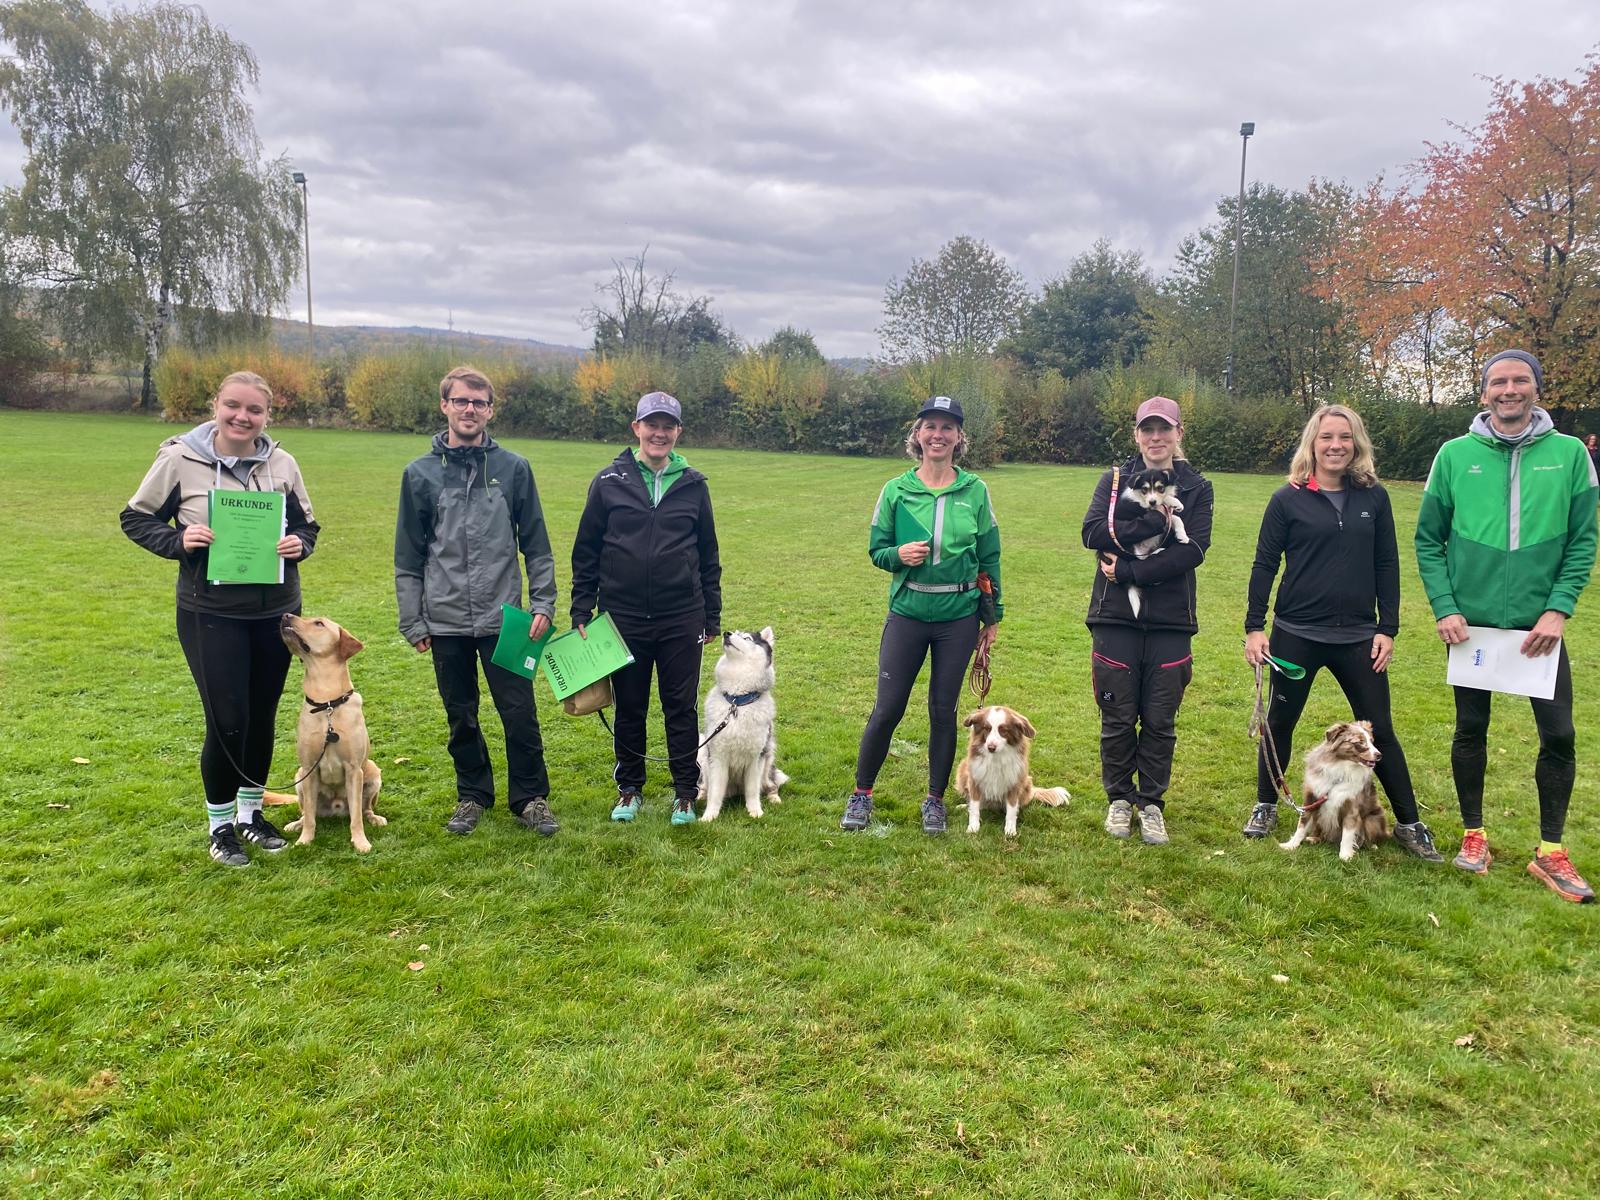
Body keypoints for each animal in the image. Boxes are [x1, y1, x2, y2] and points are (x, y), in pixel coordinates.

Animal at [268, 614, 385, 853]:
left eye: (319, 623)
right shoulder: (309, 769)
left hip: (372, 773)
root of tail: (336, 809)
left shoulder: (354, 769)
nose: (285, 615)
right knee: (307, 812)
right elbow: (311, 818)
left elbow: (356, 817)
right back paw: (297, 824)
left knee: (364, 809)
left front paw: (360, 842)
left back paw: (375, 818)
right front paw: (305, 840)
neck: (327, 702)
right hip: (299, 777)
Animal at [695, 627, 788, 821]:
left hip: (767, 761)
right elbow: (715, 793)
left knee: (771, 785)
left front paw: (755, 811)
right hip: (704, 759)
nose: (726, 634)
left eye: (746, 638)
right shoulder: (717, 757)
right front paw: (709, 816)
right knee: (705, 786)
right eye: (735, 632)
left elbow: (752, 790)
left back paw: (774, 798)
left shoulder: (756, 758)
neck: (737, 702)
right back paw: (700, 795)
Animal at [954, 705, 1070, 838]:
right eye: (987, 728)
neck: (996, 757)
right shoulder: (975, 779)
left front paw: (1010, 830)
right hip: (962, 769)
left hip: (1026, 782)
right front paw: (973, 827)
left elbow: (1011, 810)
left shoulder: (1014, 783)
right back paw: (964, 806)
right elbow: (974, 807)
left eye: (1003, 730)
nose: (991, 748)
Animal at [1104, 466, 1189, 620]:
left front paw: (1182, 535)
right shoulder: (1142, 507)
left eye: (1160, 488)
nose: (1152, 501)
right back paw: (1159, 551)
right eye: (1144, 490)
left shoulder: (1164, 515)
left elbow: (1176, 518)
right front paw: (1173, 501)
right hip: (1127, 545)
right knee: (1140, 560)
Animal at [1279, 720, 1389, 862]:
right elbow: (1301, 825)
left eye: (1372, 741)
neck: (1341, 767)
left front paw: (1345, 855)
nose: (1379, 755)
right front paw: (1291, 845)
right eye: (1360, 742)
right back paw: (1314, 839)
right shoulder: (1311, 799)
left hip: (1371, 820)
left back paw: (1371, 846)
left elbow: (1347, 834)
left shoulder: (1351, 806)